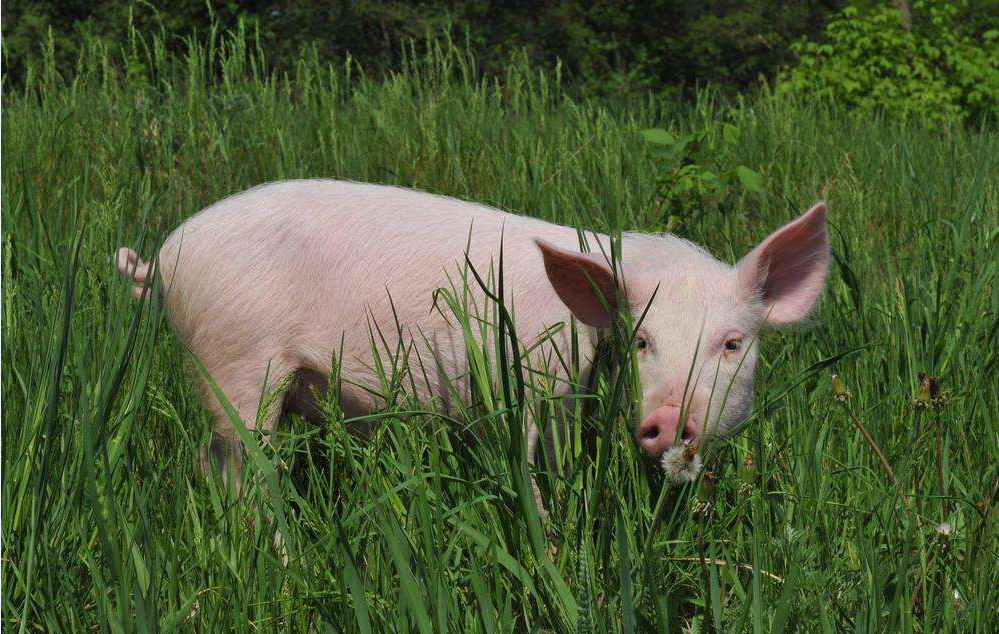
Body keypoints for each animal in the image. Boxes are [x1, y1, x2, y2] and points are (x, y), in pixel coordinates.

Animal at [115, 180, 828, 496]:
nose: (669, 418)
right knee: (244, 469)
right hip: (238, 360)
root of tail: (166, 256)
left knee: (210, 462)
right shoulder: (527, 378)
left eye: (732, 343)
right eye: (644, 340)